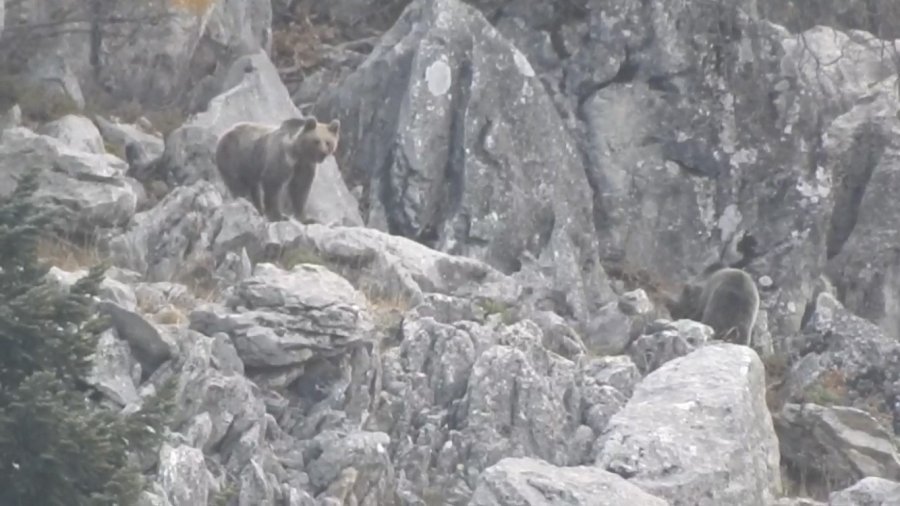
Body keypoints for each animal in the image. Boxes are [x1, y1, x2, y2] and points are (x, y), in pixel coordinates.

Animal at [214, 117, 342, 222]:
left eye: (328, 142)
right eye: (316, 141)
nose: (323, 153)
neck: (298, 153)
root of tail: (224, 133)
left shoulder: (305, 166)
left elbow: (300, 189)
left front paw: (306, 218)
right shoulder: (282, 157)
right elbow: (273, 183)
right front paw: (278, 216)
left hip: (250, 166)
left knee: (254, 188)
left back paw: (258, 208)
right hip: (234, 156)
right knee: (237, 183)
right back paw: (246, 202)